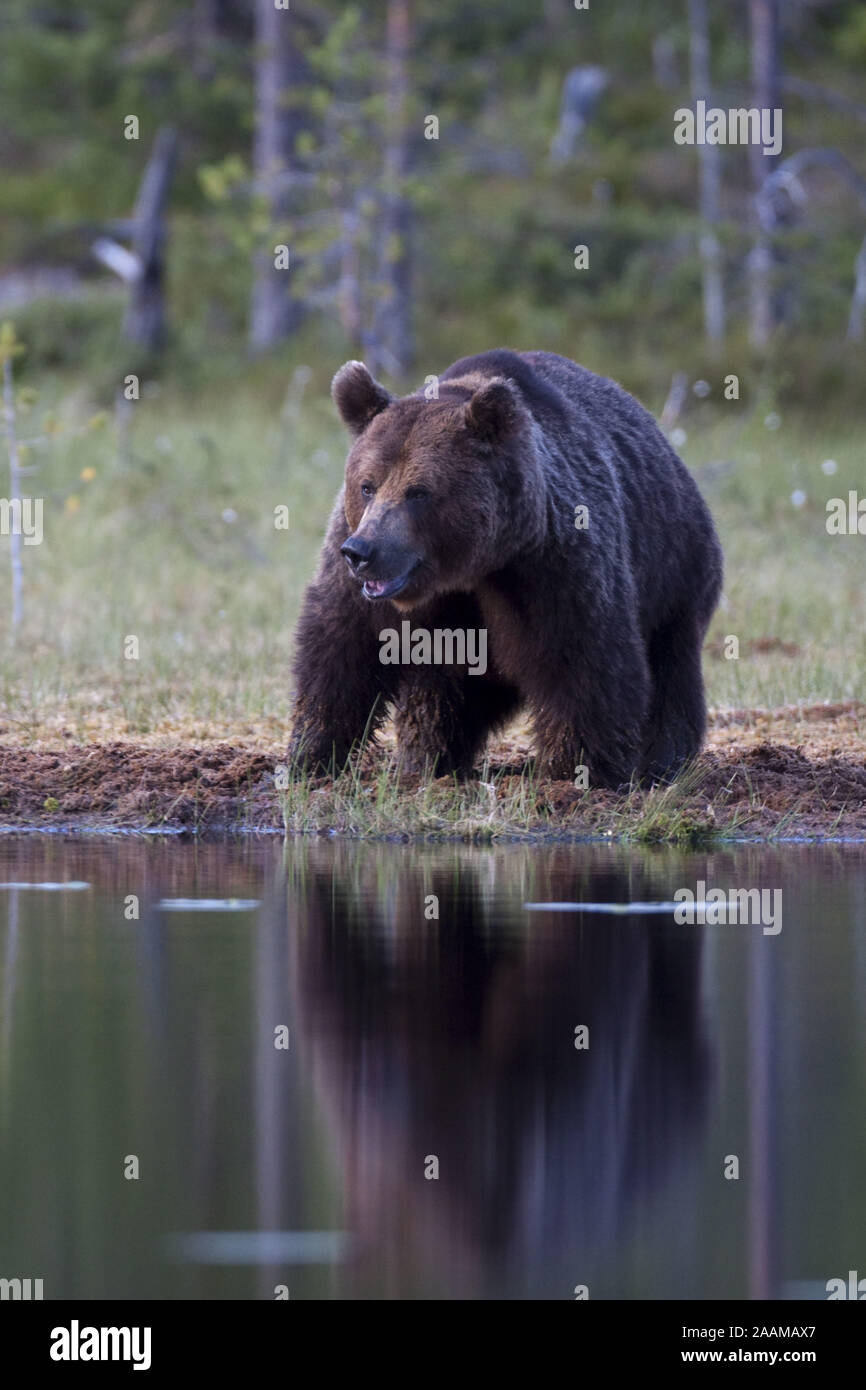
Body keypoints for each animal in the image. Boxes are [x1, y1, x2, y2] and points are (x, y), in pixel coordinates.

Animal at [289, 347, 722, 789]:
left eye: (419, 492)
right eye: (366, 485)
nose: (363, 551)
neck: (469, 567)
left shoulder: (550, 564)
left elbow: (582, 663)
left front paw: (578, 772)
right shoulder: (357, 575)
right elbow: (342, 650)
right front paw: (311, 758)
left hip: (674, 570)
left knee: (671, 671)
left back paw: (663, 763)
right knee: (443, 694)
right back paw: (430, 761)